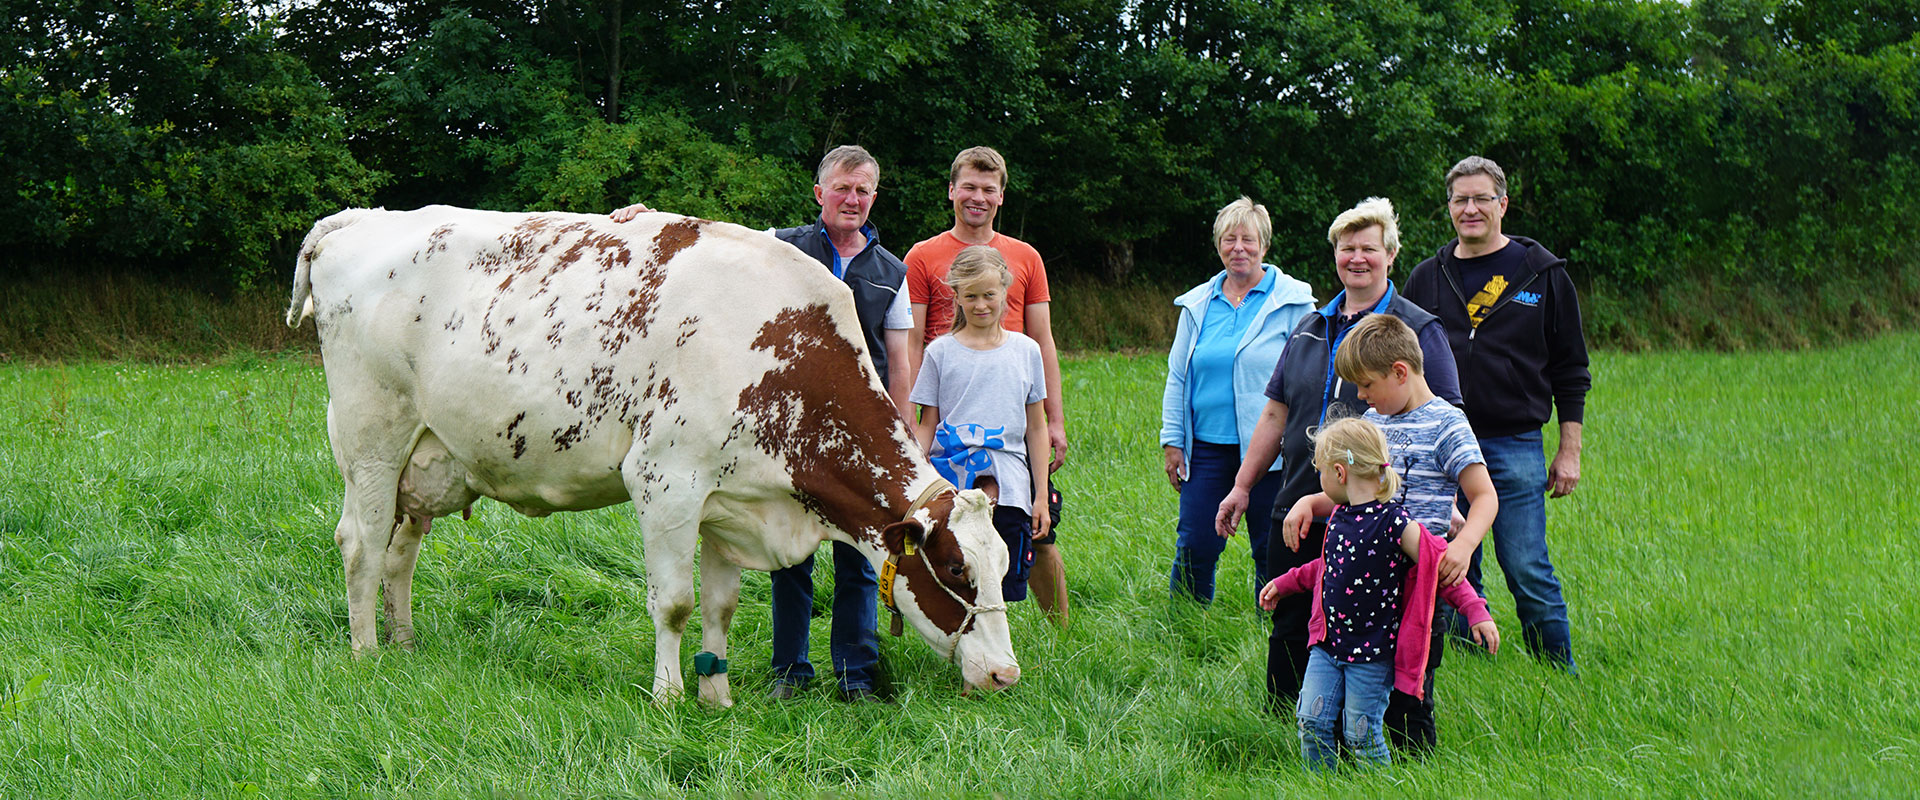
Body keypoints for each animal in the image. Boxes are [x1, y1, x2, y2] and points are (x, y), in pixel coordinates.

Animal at [285, 205, 1021, 706]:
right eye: (955, 568)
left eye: (1005, 566)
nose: (1005, 673)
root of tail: (362, 218)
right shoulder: (667, 481)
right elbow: (673, 602)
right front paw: (669, 697)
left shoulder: (733, 500)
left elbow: (720, 606)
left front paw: (717, 697)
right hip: (373, 440)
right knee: (360, 544)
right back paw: (367, 653)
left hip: (426, 459)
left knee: (399, 554)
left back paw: (405, 644)